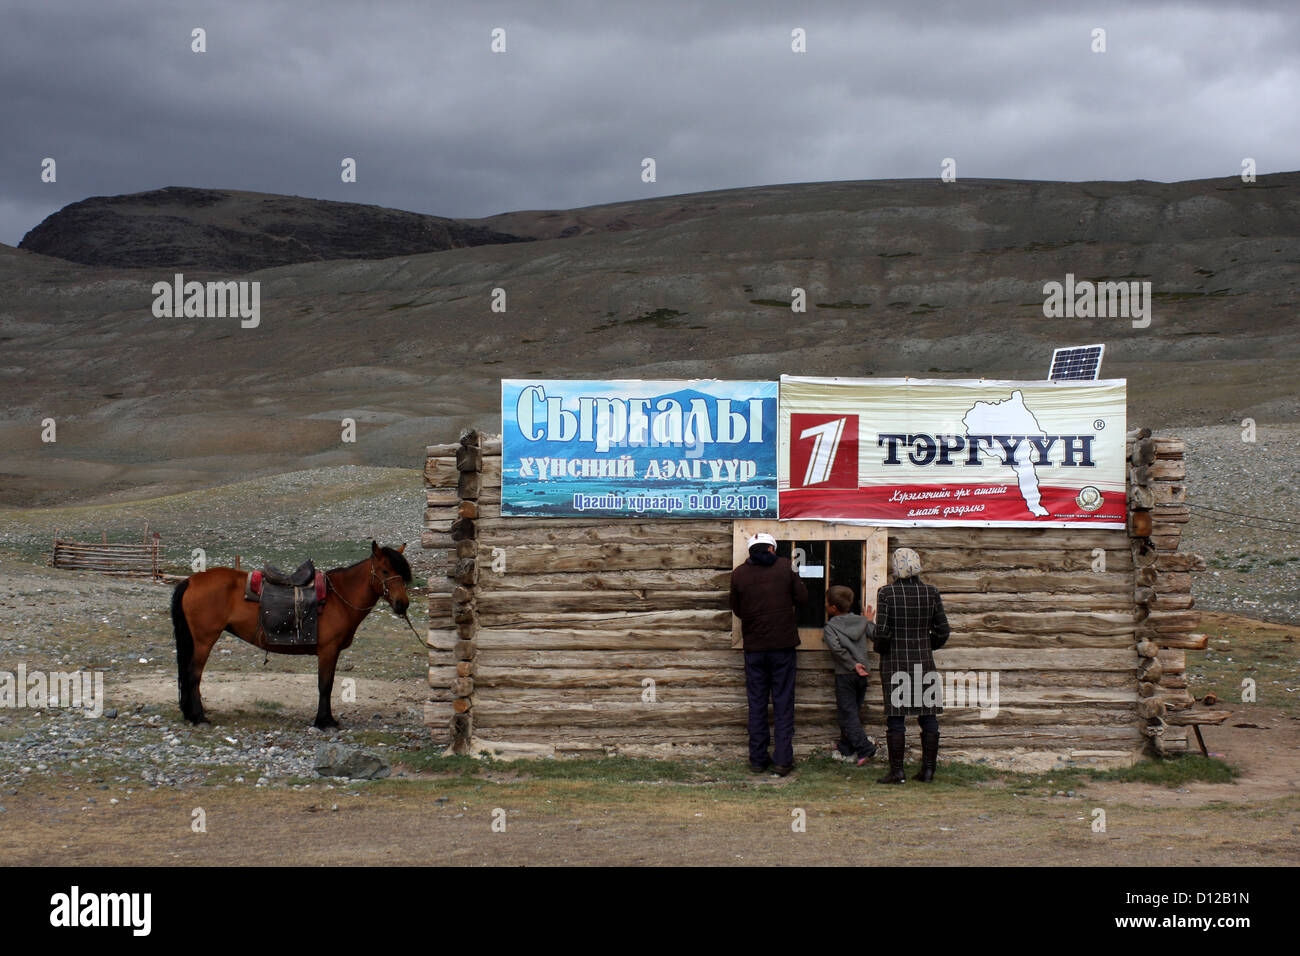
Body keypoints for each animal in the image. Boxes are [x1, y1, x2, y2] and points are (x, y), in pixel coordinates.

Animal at [169, 541, 410, 728]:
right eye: (385, 571)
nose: (402, 604)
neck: (339, 598)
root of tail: (191, 580)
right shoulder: (327, 650)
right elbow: (325, 685)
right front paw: (324, 722)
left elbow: (328, 684)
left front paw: (328, 719)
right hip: (204, 640)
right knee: (193, 675)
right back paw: (199, 718)